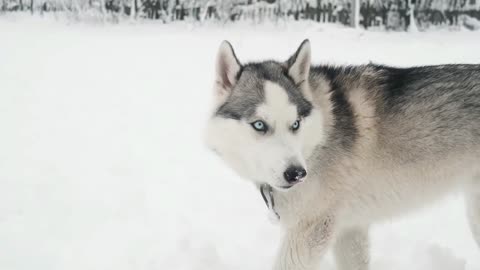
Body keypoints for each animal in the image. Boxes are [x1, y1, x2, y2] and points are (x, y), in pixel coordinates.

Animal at [204, 40, 480, 270]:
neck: (320, 135)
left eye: (295, 124)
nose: (297, 174)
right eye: (259, 125)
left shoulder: (309, 232)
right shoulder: (350, 229)